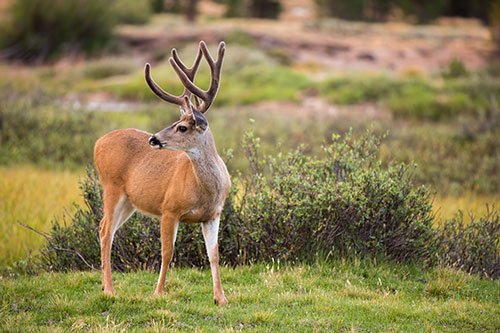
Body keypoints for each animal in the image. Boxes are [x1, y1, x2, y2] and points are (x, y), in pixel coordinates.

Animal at [94, 40, 230, 304]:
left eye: (182, 127)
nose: (153, 139)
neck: (205, 190)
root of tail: (98, 142)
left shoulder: (214, 214)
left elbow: (214, 255)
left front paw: (221, 298)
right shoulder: (169, 208)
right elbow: (167, 252)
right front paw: (158, 292)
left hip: (130, 202)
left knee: (107, 229)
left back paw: (105, 287)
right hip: (111, 187)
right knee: (105, 230)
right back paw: (110, 289)